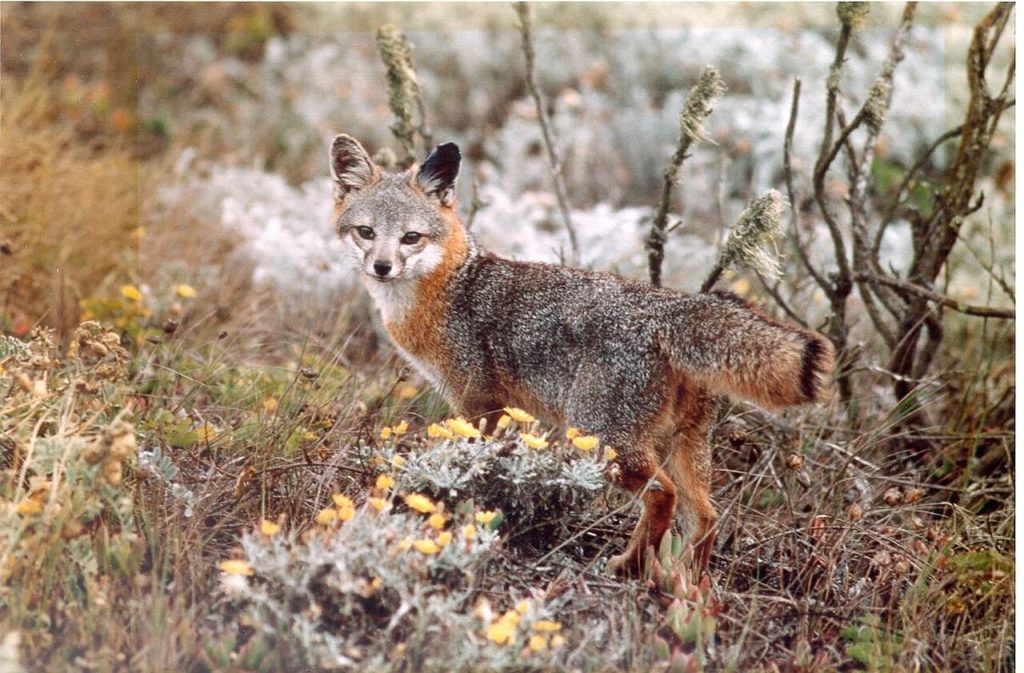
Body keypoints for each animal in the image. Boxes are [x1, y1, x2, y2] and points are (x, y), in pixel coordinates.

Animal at [329, 134, 834, 575]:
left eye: (411, 238)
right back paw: (687, 583)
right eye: (366, 232)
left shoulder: (477, 403)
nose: (382, 266)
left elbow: (473, 462)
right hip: (682, 447)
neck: (451, 287)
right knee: (706, 515)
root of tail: (669, 306)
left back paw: (629, 566)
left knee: (663, 496)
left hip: (603, 438)